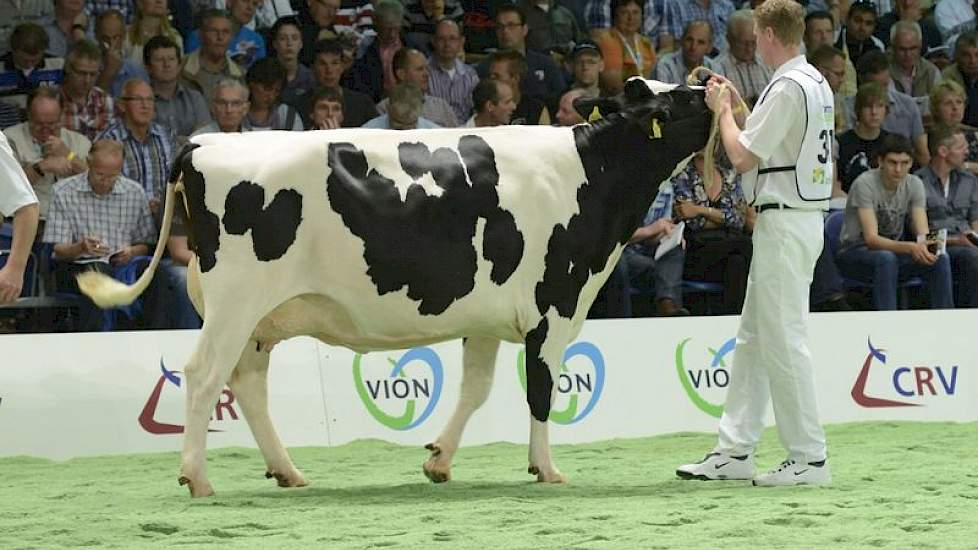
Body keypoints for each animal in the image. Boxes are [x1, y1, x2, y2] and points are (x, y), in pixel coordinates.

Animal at [80, 78, 708, 500]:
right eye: (677, 102)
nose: (711, 85)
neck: (589, 174)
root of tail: (204, 144)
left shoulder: (488, 316)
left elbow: (475, 390)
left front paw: (439, 460)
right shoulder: (554, 307)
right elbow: (541, 391)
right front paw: (547, 469)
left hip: (257, 319)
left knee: (248, 385)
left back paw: (287, 471)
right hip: (235, 301)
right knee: (204, 375)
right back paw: (198, 477)